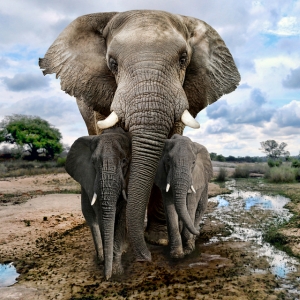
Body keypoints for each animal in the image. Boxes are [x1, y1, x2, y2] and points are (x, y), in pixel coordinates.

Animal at [65, 127, 131, 280]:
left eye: (124, 161)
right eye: (94, 162)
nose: (106, 278)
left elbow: (123, 213)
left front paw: (117, 272)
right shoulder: (91, 179)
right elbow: (100, 213)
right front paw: (110, 268)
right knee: (90, 216)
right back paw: (100, 258)